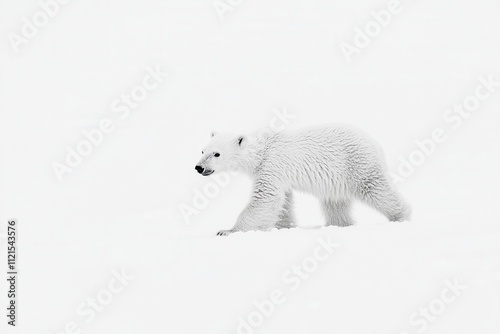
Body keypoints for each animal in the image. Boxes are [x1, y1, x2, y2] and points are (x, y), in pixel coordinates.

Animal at [195, 124, 410, 236]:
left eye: (217, 154)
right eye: (203, 151)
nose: (199, 168)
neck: (262, 150)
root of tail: (375, 143)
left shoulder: (272, 164)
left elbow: (266, 198)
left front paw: (228, 230)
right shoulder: (278, 174)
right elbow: (284, 202)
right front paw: (286, 227)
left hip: (357, 164)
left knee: (376, 189)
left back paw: (402, 216)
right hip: (336, 180)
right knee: (335, 203)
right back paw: (339, 225)